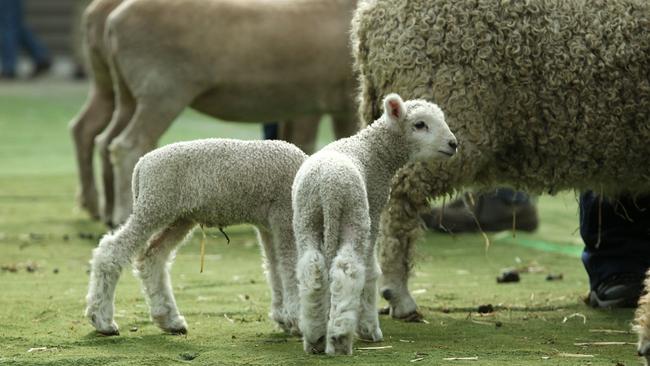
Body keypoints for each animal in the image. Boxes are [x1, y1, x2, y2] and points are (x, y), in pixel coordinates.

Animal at [71, 0, 362, 226]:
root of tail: (114, 19)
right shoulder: (334, 100)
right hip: (162, 92)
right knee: (126, 145)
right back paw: (123, 214)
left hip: (124, 91)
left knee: (99, 136)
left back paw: (105, 210)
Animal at [85, 139, 306, 338]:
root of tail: (141, 166)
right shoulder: (284, 215)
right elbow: (290, 267)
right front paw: (296, 319)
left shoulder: (268, 224)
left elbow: (275, 267)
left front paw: (283, 317)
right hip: (155, 205)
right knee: (110, 252)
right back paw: (102, 320)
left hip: (178, 216)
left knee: (153, 256)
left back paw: (169, 320)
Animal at [294, 94, 456, 354]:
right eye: (420, 124)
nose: (453, 144)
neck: (375, 151)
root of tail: (328, 188)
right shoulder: (376, 209)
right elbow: (371, 271)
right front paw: (369, 329)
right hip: (355, 216)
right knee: (347, 269)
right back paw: (339, 337)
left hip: (306, 218)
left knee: (312, 268)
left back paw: (315, 338)